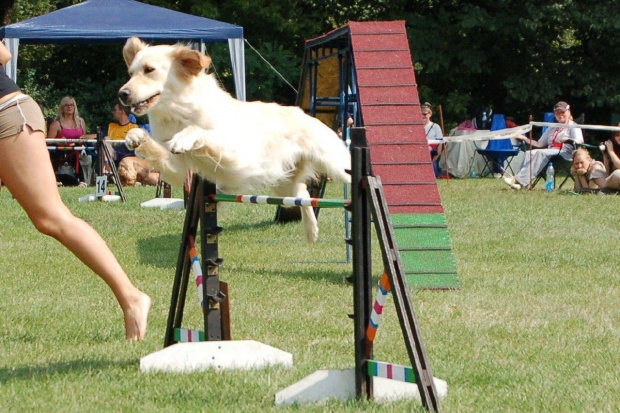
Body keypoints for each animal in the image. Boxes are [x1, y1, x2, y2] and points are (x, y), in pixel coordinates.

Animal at [118, 37, 352, 241]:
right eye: (130, 73)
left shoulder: (237, 155)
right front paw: (136, 136)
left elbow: (199, 131)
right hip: (282, 184)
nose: (122, 94)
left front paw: (184, 138)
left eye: (149, 70)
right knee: (303, 193)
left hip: (336, 166)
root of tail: (306, 116)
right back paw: (311, 231)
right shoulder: (177, 167)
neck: (179, 112)